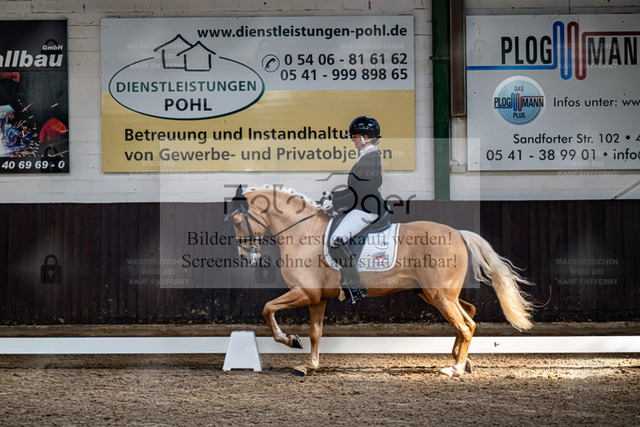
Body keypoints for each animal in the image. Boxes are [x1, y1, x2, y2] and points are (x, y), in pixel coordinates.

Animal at [225, 185, 533, 377]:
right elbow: (315, 333)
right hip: (434, 294)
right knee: (468, 314)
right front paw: (309, 365)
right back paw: (461, 358)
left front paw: (289, 340)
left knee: (465, 324)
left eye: (238, 222)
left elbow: (268, 308)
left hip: (439, 295)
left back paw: (454, 368)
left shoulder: (305, 292)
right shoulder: (318, 298)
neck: (302, 232)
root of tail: (458, 232)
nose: (245, 256)